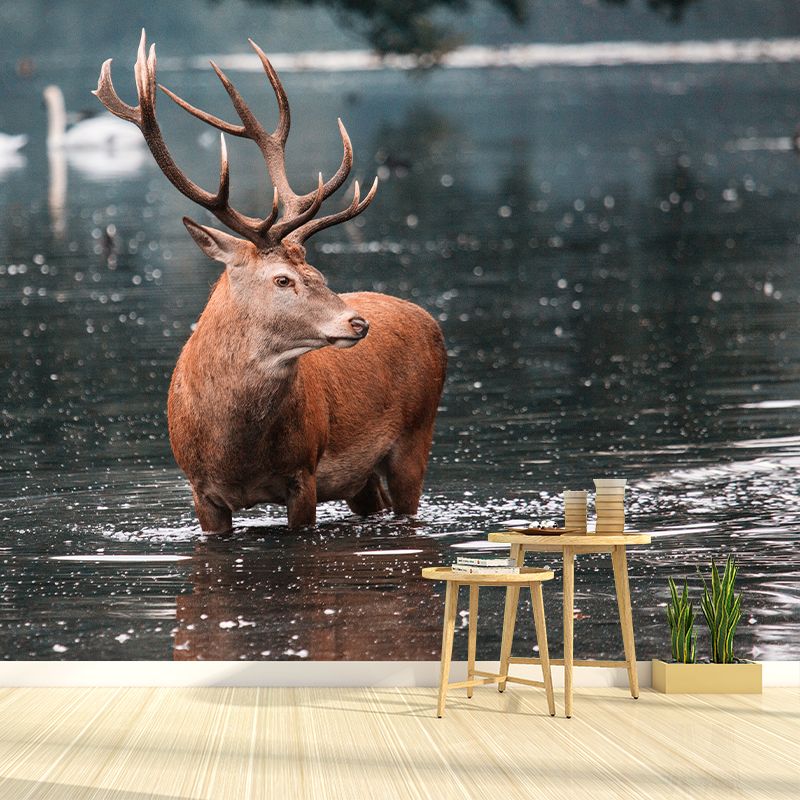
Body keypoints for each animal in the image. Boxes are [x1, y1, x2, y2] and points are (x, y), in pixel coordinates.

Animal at [94, 31, 446, 533]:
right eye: (283, 280)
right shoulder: (200, 491)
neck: (235, 453)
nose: (358, 323)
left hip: (417, 435)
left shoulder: (305, 473)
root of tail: (429, 320)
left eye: (318, 273)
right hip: (361, 478)